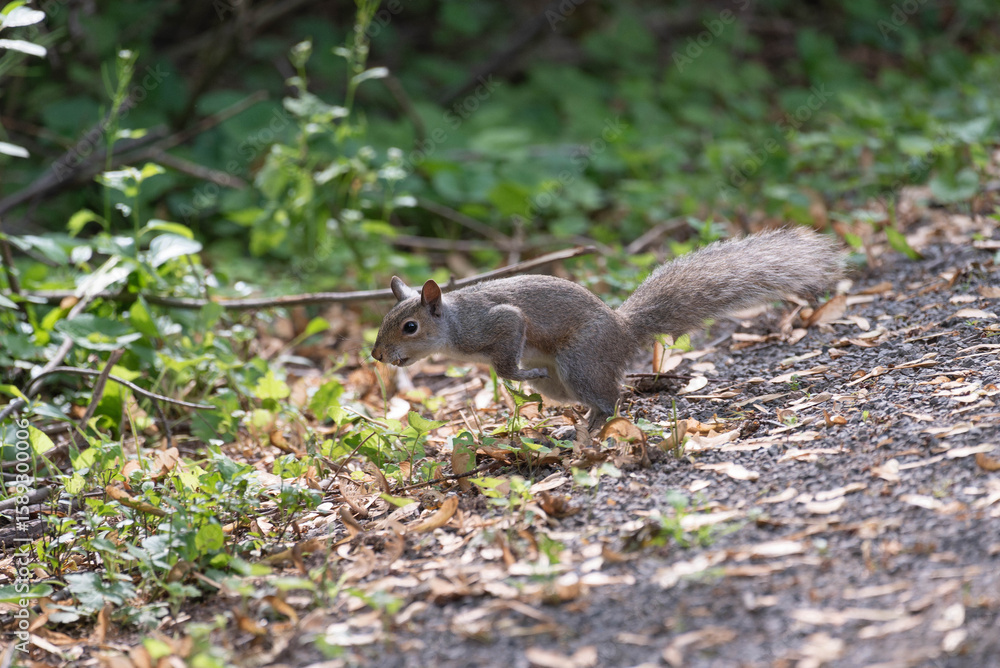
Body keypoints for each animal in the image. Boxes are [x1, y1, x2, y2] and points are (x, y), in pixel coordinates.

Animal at [371, 227, 843, 429]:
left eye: (409, 327)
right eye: (384, 323)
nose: (376, 355)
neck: (452, 326)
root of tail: (622, 331)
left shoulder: (497, 323)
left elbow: (507, 354)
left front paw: (519, 372)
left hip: (580, 362)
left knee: (613, 399)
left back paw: (591, 427)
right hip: (562, 383)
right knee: (601, 399)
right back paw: (580, 423)